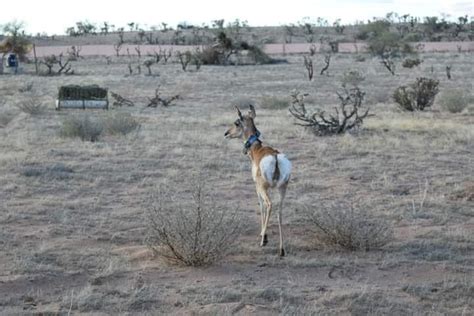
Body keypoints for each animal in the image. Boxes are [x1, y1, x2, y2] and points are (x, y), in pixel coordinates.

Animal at [224, 104, 290, 256]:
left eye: (236, 122)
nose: (226, 133)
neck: (258, 150)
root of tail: (275, 157)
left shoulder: (256, 187)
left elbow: (261, 206)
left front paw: (263, 235)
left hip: (263, 188)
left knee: (269, 205)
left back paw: (263, 241)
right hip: (282, 189)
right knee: (279, 212)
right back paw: (282, 249)